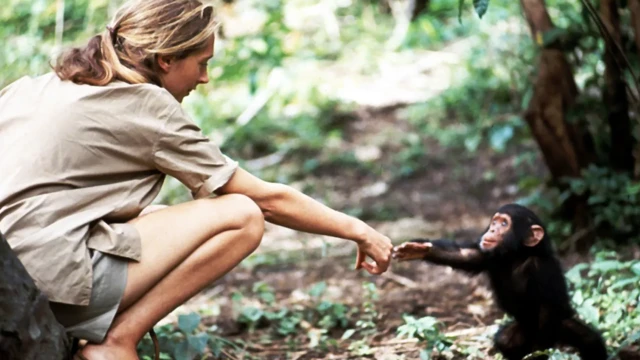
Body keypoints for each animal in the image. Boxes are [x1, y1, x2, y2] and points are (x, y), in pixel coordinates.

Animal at [392, 204, 608, 358]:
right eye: (495, 222)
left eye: (504, 224)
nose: (493, 230)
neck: (516, 255)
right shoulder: (487, 254)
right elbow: (464, 255)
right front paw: (417, 249)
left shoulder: (542, 269)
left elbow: (548, 306)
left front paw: (540, 349)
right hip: (521, 329)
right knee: (506, 341)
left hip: (560, 325)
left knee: (589, 341)